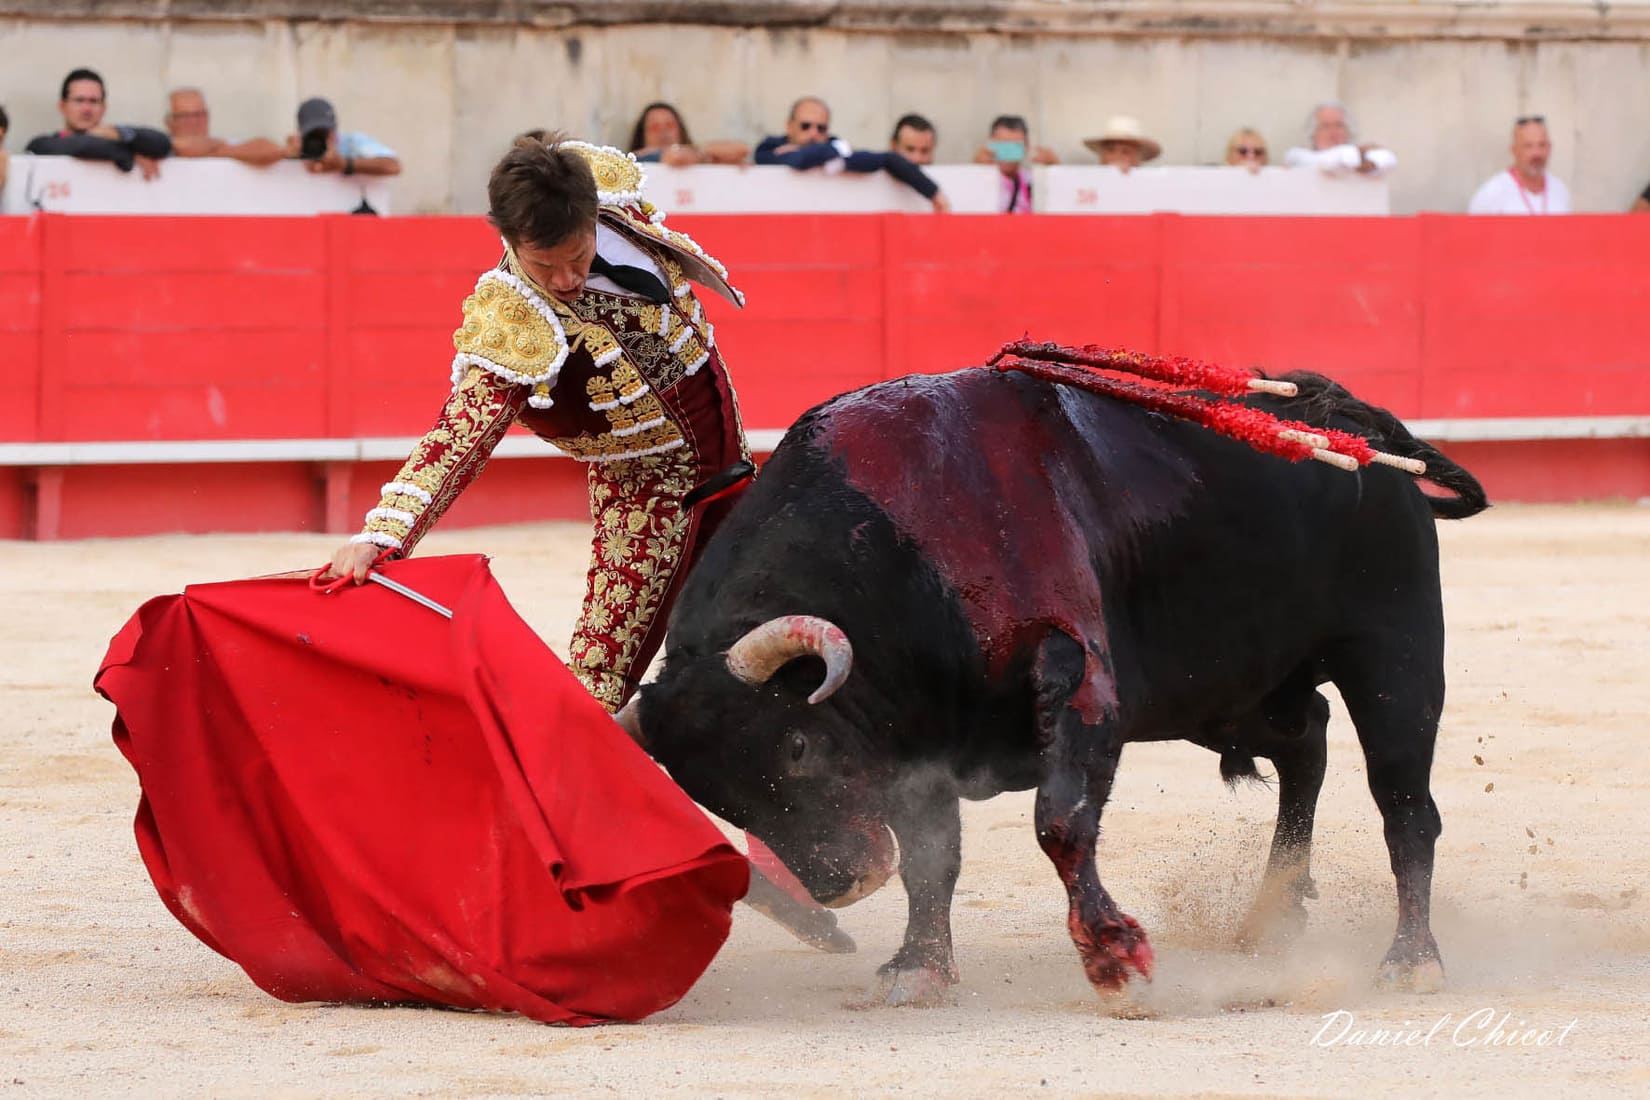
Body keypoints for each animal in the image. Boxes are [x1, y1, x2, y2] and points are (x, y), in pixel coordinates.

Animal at [617, 361, 1485, 1009]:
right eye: (709, 795)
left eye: (795, 744)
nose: (840, 885)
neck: (902, 542)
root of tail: (1365, 427)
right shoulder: (917, 738)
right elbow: (933, 856)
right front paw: (918, 969)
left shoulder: (1079, 673)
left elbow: (1060, 821)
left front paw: (1114, 958)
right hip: (1224, 690)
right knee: (1308, 742)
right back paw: (1270, 917)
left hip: (1394, 653)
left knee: (1406, 806)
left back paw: (1411, 960)